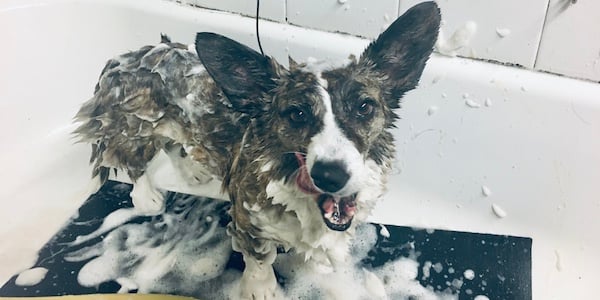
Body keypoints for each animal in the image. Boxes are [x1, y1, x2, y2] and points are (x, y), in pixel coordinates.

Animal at [74, 1, 440, 298]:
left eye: (364, 107)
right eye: (297, 114)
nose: (331, 175)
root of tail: (127, 56)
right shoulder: (247, 219)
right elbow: (260, 260)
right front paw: (261, 290)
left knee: (176, 145)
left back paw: (192, 172)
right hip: (136, 130)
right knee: (133, 160)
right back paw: (147, 196)